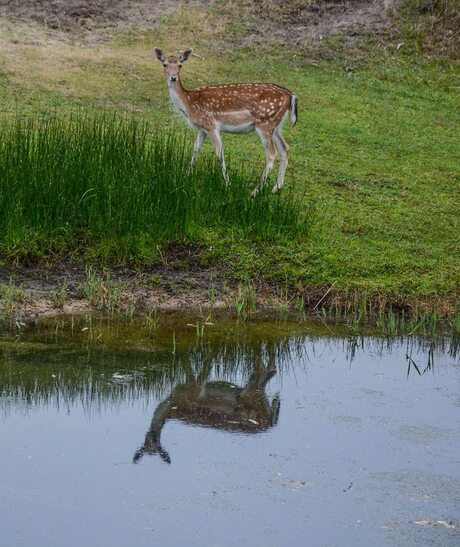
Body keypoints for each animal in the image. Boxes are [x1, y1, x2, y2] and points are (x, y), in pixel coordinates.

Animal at [133, 358, 280, 464]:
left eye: (157, 443)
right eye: (145, 442)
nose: (152, 434)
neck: (172, 403)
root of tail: (267, 424)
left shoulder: (195, 388)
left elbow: (201, 369)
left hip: (251, 394)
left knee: (264, 370)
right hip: (257, 396)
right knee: (270, 372)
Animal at [155, 48, 298, 195]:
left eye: (180, 65)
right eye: (165, 64)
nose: (173, 77)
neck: (189, 103)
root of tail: (291, 95)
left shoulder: (211, 125)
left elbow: (219, 152)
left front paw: (228, 184)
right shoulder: (202, 128)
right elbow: (196, 149)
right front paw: (185, 175)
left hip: (265, 123)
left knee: (272, 153)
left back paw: (255, 192)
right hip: (276, 126)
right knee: (285, 148)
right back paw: (276, 187)